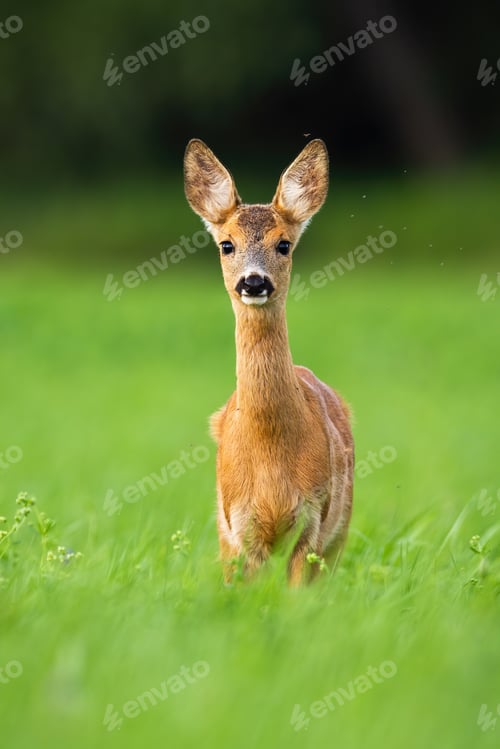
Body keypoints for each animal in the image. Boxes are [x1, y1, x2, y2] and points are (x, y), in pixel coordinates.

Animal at [183, 138, 354, 585]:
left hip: (339, 529)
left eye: (284, 244)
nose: (254, 281)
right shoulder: (241, 526)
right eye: (226, 244)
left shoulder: (312, 519)